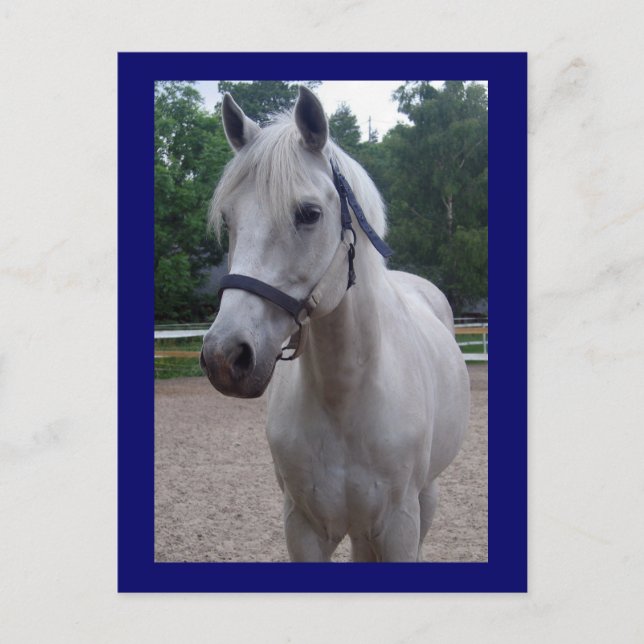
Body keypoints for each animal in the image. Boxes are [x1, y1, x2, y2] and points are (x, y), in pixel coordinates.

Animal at [200, 86, 470, 562]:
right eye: (229, 219)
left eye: (308, 214)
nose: (224, 357)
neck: (344, 396)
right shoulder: (304, 526)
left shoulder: (399, 525)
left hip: (426, 497)